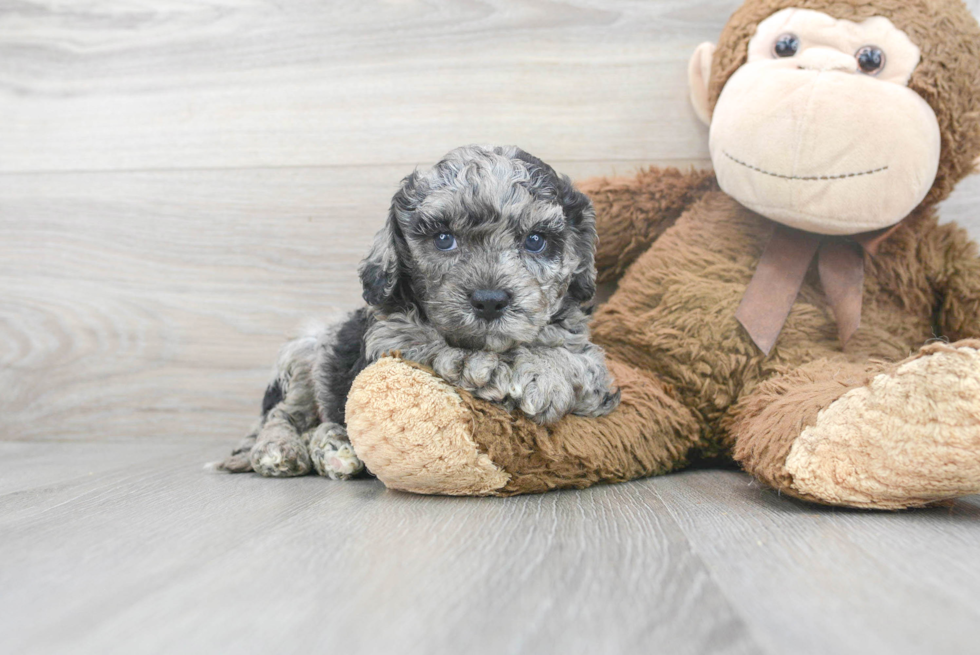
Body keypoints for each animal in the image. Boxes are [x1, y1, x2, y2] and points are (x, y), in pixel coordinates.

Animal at [220, 145, 620, 482]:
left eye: (535, 241)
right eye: (444, 238)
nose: (490, 300)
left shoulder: (589, 362)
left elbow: (577, 358)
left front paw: (544, 372)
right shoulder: (391, 337)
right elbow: (441, 349)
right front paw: (497, 368)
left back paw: (335, 447)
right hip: (306, 352)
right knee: (284, 413)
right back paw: (281, 449)